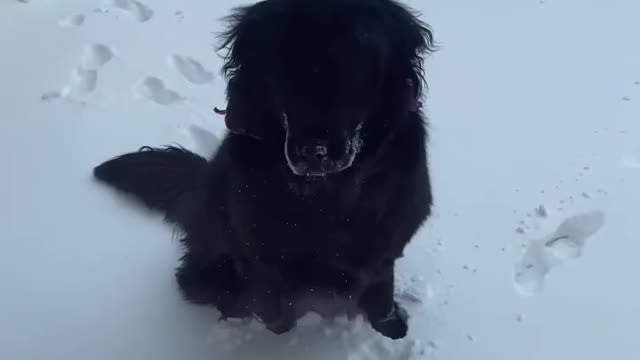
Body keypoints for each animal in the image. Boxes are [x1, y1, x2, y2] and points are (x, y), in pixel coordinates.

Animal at [94, 0, 436, 340]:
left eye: (354, 61)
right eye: (283, 68)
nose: (314, 152)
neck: (325, 195)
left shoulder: (385, 246)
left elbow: (381, 292)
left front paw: (391, 328)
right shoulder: (260, 259)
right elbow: (275, 311)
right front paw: (280, 338)